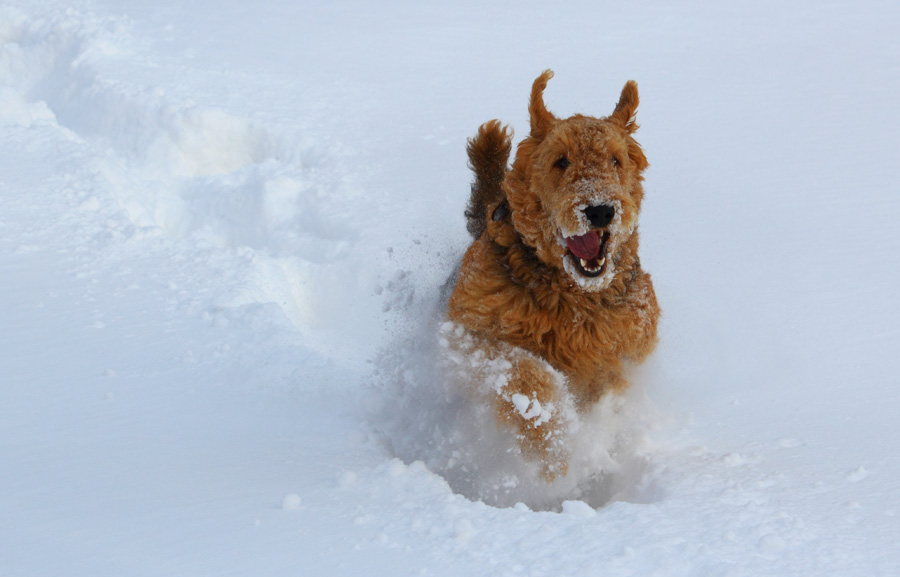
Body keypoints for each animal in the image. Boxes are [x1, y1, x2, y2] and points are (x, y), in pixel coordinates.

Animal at [446, 71, 656, 476]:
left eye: (615, 160)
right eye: (561, 161)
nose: (600, 210)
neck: (571, 298)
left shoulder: (625, 350)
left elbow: (605, 384)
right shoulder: (467, 335)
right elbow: (528, 374)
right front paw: (555, 446)